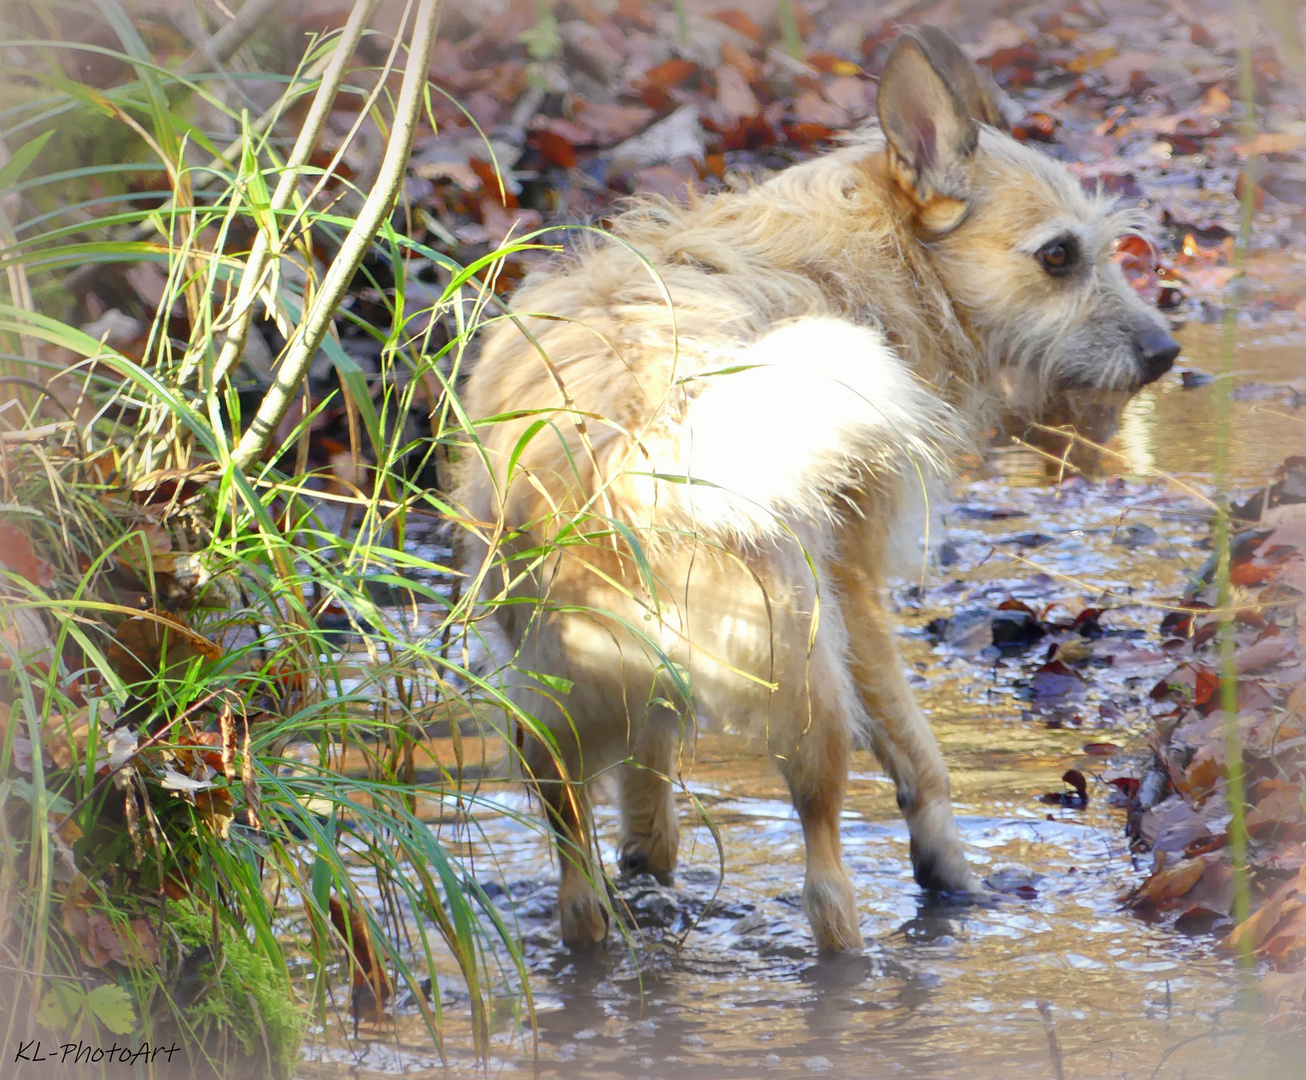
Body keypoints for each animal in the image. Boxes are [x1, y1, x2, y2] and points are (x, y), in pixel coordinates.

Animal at [454, 25, 1180, 955]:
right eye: (1059, 256)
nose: (1165, 352)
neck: (875, 253)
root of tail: (634, 443)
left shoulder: (650, 716)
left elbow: (649, 816)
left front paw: (649, 870)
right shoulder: (857, 587)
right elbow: (921, 763)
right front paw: (952, 876)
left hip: (550, 725)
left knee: (580, 888)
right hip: (810, 697)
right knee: (826, 882)